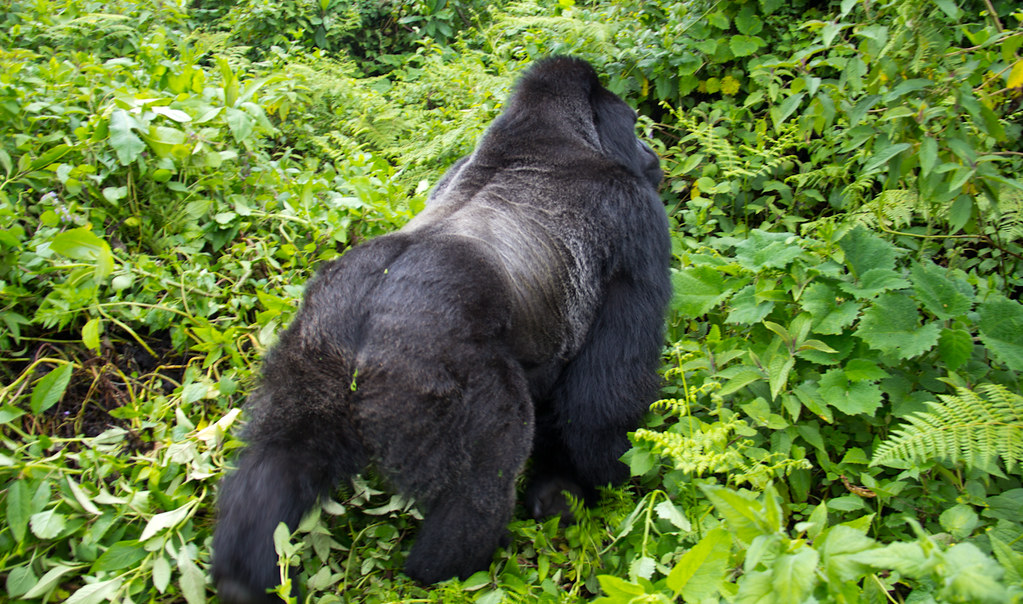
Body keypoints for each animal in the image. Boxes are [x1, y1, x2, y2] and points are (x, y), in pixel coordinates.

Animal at [212, 55, 675, 601]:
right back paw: (448, 571)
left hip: (312, 342)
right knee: (483, 477)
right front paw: (604, 481)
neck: (542, 134)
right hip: (435, 371)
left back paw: (242, 576)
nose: (650, 152)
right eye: (634, 124)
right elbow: (601, 398)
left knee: (280, 456)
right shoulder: (636, 216)